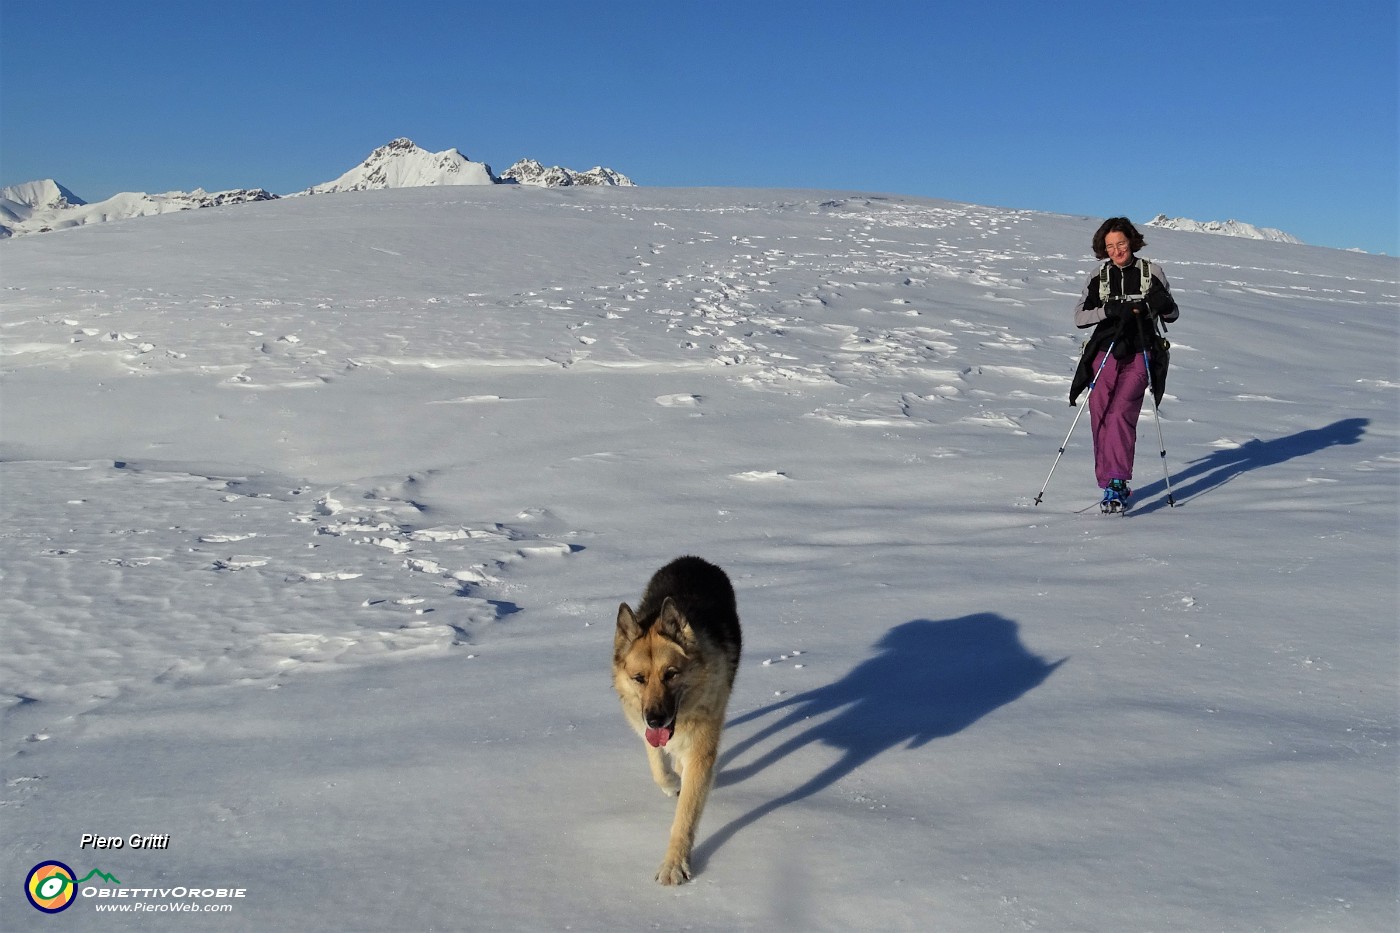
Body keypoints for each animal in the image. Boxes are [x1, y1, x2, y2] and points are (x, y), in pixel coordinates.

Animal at [613, 554, 744, 885]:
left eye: (671, 674)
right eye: (639, 678)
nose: (656, 720)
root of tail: (694, 559)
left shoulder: (701, 746)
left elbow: (686, 815)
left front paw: (674, 864)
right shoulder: (644, 726)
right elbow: (658, 765)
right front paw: (671, 781)